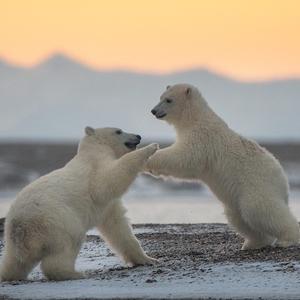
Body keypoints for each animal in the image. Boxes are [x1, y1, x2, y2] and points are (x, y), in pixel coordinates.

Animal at [0, 127, 158, 282]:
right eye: (118, 131)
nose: (138, 136)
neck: (93, 149)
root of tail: (20, 225)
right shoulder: (95, 167)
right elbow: (107, 180)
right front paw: (151, 147)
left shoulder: (107, 207)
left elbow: (118, 226)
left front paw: (148, 259)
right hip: (57, 221)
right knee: (67, 245)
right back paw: (73, 273)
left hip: (13, 238)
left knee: (15, 262)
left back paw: (9, 275)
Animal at [148, 84, 300, 251]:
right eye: (160, 97)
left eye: (169, 100)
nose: (153, 111)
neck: (195, 118)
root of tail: (283, 180)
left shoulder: (202, 137)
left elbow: (184, 157)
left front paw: (149, 158)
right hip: (238, 196)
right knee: (238, 216)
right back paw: (253, 243)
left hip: (257, 184)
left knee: (259, 209)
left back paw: (288, 239)